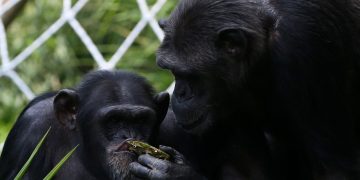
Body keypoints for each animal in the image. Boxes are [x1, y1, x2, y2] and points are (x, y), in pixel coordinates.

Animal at [130, 0, 360, 179]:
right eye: (173, 72)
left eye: (190, 74)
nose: (180, 93)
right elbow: (248, 172)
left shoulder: (306, 46)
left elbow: (333, 170)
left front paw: (175, 174)